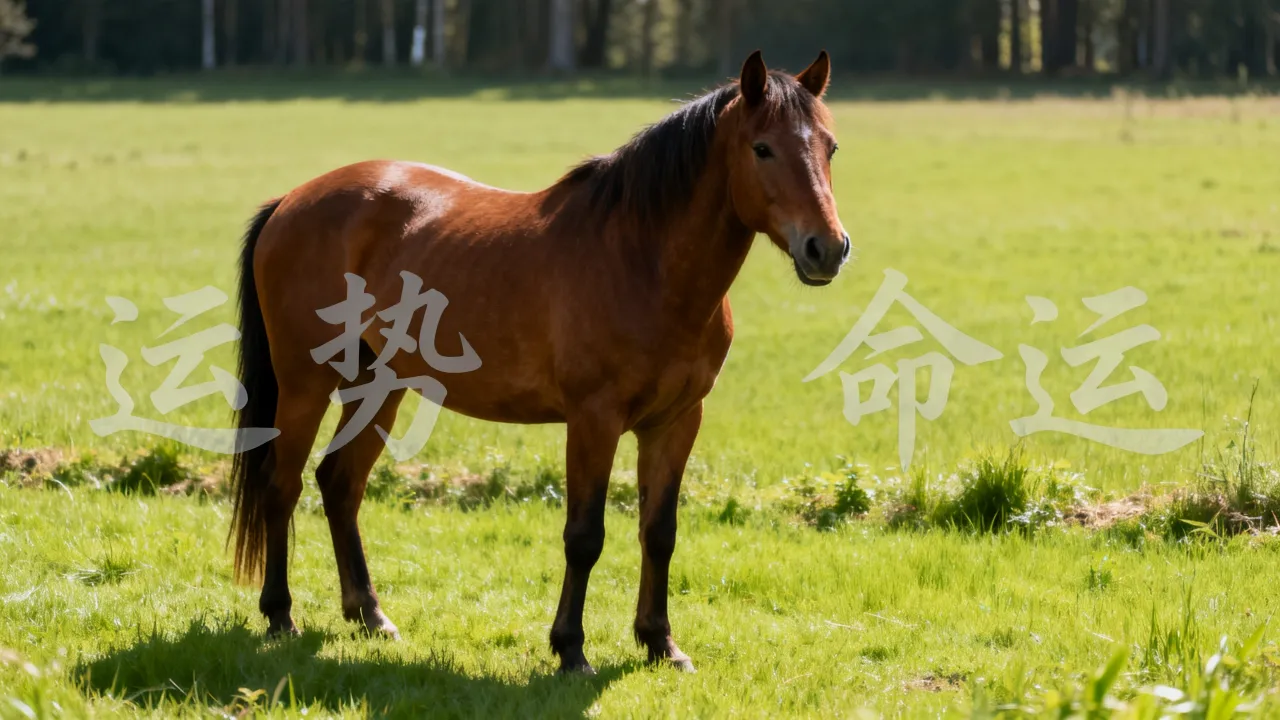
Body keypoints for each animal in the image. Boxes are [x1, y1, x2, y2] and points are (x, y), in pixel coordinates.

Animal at [228, 49, 850, 675]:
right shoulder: (594, 420)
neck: (642, 261)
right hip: (305, 384)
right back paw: (280, 615)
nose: (827, 248)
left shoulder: (676, 422)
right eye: (762, 148)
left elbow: (659, 531)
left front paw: (660, 642)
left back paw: (370, 615)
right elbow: (585, 535)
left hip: (380, 386)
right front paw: (571, 648)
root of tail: (290, 202)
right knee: (282, 485)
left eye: (830, 146)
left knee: (339, 483)